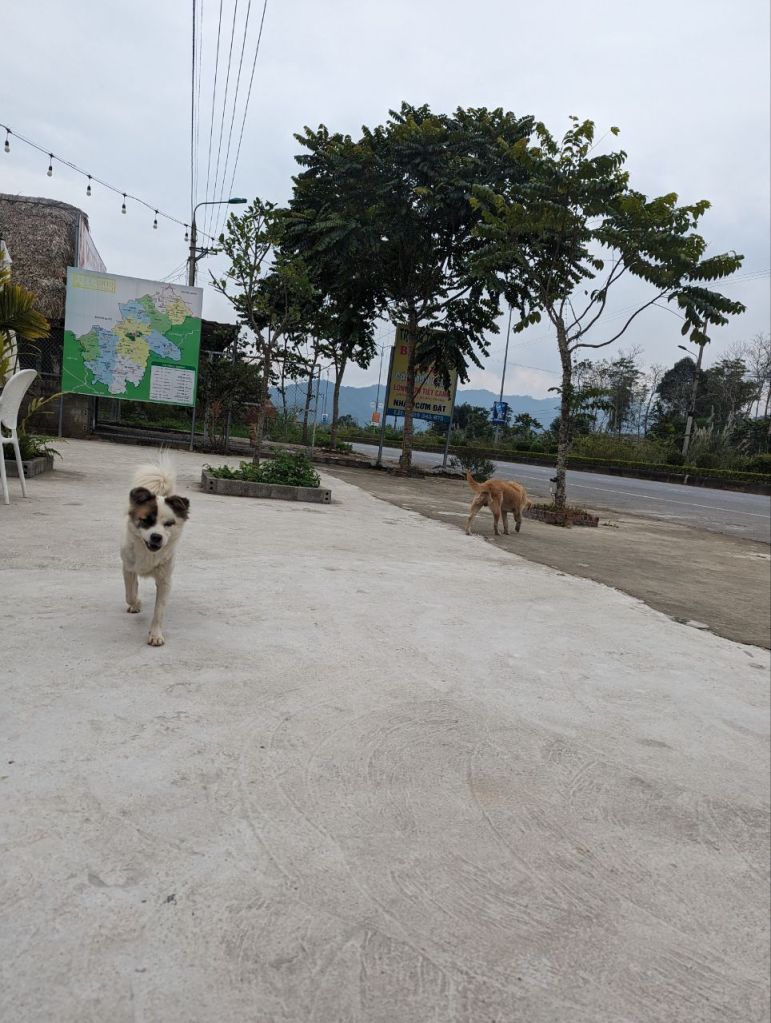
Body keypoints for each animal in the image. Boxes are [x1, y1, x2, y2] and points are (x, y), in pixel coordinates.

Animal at [121, 456, 190, 646]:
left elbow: (159, 611)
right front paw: (136, 603)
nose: (156, 537)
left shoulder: (165, 579)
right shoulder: (127, 568)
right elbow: (130, 593)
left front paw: (156, 634)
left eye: (169, 524)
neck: (149, 553)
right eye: (146, 520)